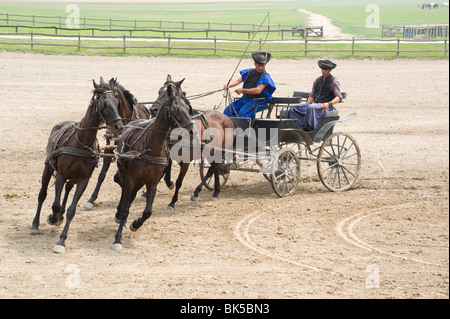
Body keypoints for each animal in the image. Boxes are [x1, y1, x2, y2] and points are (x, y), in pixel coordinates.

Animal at [31, 77, 125, 255]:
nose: (119, 127)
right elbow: (54, 204)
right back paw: (35, 224)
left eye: (117, 101)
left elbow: (71, 210)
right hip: (48, 169)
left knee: (67, 190)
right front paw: (53, 218)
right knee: (42, 194)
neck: (81, 142)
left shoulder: (83, 180)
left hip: (72, 177)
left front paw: (61, 240)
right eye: (103, 102)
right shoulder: (61, 175)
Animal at [85, 80, 152, 210]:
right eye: (102, 103)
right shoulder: (109, 149)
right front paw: (91, 199)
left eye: (117, 102)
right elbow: (102, 175)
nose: (118, 127)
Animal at [112, 75, 193, 250]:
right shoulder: (131, 178)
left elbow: (148, 212)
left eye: (187, 106)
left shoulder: (152, 182)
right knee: (124, 193)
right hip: (125, 173)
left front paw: (135, 224)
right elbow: (125, 209)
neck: (151, 146)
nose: (191, 130)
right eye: (175, 109)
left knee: (131, 195)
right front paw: (118, 238)